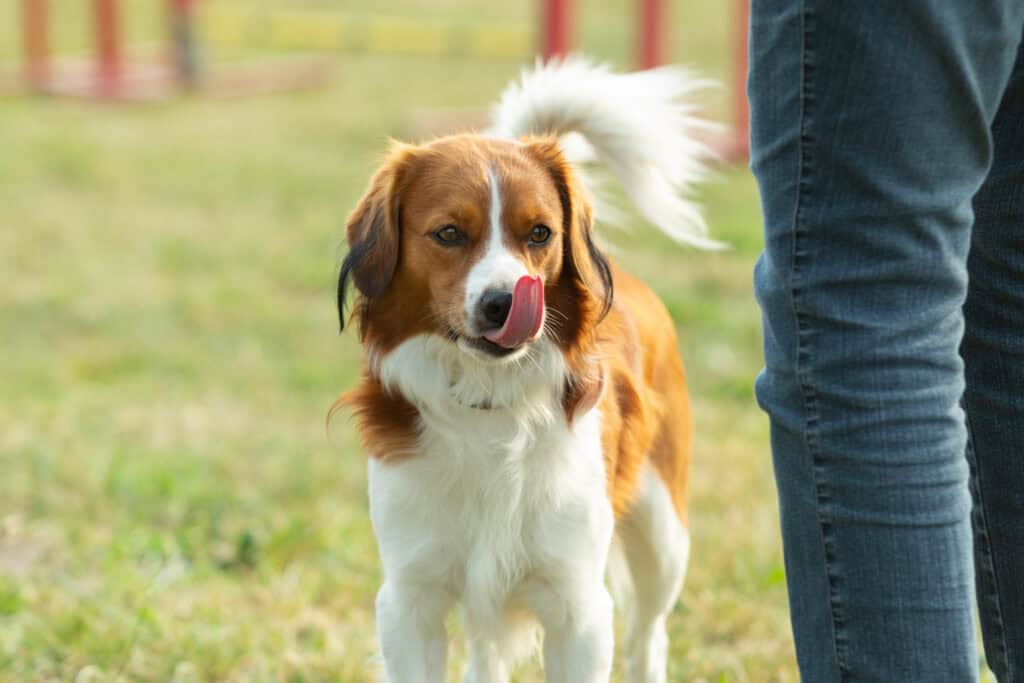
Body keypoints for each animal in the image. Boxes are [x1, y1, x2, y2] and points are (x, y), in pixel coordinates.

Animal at [337, 60, 720, 683]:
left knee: (649, 635)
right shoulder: (410, 598)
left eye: (540, 233)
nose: (503, 303)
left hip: (663, 536)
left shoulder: (578, 606)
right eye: (448, 233)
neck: (488, 401)